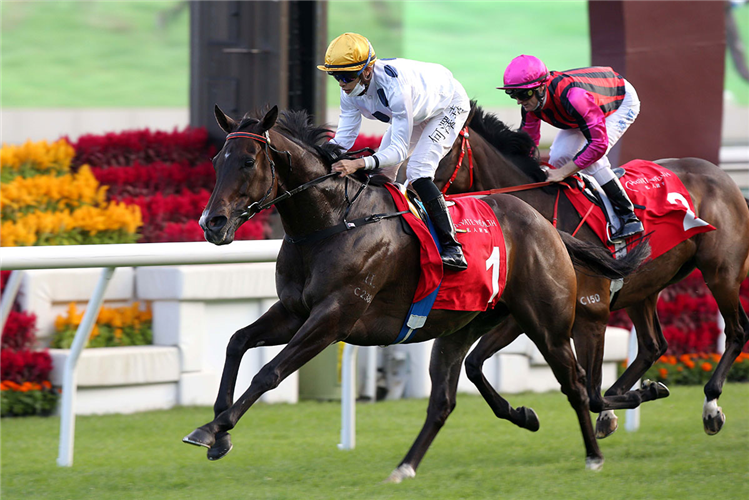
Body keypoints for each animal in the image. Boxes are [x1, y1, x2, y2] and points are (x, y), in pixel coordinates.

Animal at [184, 104, 644, 476]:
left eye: (247, 162)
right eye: (216, 160)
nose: (212, 223)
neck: (333, 222)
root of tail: (547, 226)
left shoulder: (334, 316)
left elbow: (269, 371)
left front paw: (211, 428)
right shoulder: (294, 311)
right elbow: (237, 341)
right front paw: (220, 432)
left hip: (546, 322)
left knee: (576, 382)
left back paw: (594, 453)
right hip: (464, 326)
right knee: (445, 398)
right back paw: (415, 463)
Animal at [432, 102, 748, 438]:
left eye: (442, 147)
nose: (411, 185)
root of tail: (723, 176)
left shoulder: (591, 313)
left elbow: (593, 395)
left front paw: (642, 393)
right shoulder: (526, 316)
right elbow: (473, 364)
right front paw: (523, 415)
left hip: (721, 273)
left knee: (737, 330)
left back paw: (711, 405)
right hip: (643, 288)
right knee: (652, 345)